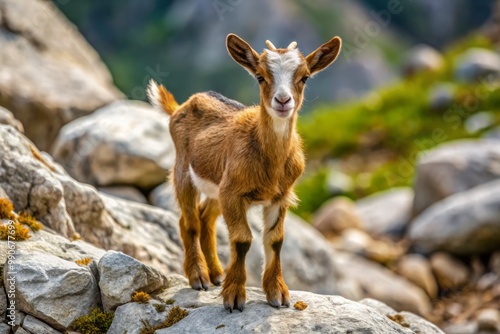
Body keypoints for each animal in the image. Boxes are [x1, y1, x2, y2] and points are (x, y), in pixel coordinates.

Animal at [146, 33, 342, 310]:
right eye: (260, 76)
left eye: (304, 77)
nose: (283, 101)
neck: (269, 160)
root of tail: (180, 106)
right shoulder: (233, 193)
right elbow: (242, 240)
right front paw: (234, 297)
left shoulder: (279, 197)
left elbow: (275, 240)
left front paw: (278, 294)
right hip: (183, 171)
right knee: (189, 221)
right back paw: (199, 277)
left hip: (217, 188)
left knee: (205, 218)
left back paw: (216, 274)